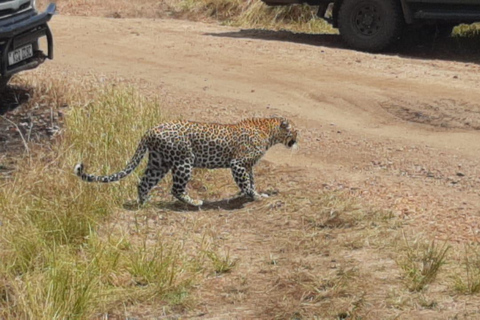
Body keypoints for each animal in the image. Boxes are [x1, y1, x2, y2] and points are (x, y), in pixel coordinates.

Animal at [72, 116, 296, 206]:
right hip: (183, 161)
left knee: (143, 182)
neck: (269, 132)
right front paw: (254, 196)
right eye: (295, 131)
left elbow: (250, 180)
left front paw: (253, 193)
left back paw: (144, 202)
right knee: (176, 189)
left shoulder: (247, 166)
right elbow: (246, 182)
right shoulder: (238, 163)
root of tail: (150, 130)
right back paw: (195, 202)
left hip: (159, 162)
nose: (298, 140)